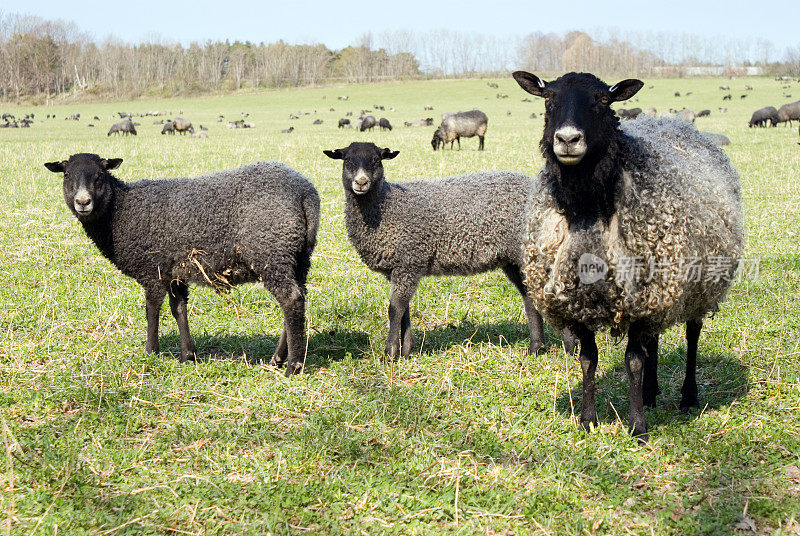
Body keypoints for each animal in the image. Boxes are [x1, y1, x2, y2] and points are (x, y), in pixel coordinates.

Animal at [45, 153, 320, 374]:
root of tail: (305, 193)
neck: (121, 211)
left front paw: (151, 351)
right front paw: (188, 355)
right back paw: (278, 358)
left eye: (100, 175)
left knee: (290, 299)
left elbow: (152, 310)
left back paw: (293, 366)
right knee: (298, 299)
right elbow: (178, 309)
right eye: (67, 175)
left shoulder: (153, 269)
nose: (83, 202)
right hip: (298, 256)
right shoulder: (174, 270)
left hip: (271, 250)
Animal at [322, 142, 572, 360]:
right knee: (530, 298)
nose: (361, 182)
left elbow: (395, 309)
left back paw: (570, 348)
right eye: (347, 161)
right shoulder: (400, 268)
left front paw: (390, 354)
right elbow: (404, 311)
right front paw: (406, 350)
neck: (388, 205)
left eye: (376, 160)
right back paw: (536, 348)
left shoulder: (409, 260)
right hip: (514, 259)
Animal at [512, 71, 744, 442]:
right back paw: (650, 392)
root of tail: (675, 122)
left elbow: (633, 361)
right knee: (654, 342)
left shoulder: (642, 300)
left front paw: (637, 427)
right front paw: (588, 420)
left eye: (603, 99)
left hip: (697, 285)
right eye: (548, 97)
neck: (589, 210)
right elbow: (589, 359)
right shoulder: (580, 301)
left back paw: (687, 396)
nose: (567, 139)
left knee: (692, 335)